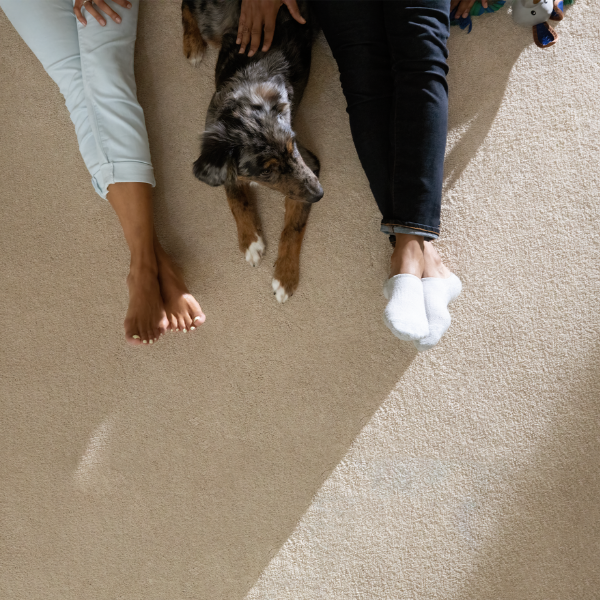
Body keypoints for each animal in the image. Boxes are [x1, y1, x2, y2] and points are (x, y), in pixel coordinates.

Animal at [183, 0, 324, 300]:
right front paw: (250, 241)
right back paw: (192, 43)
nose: (320, 194)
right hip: (214, 23)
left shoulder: (310, 163)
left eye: (292, 147)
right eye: (267, 171)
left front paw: (285, 276)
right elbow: (236, 198)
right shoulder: (220, 160)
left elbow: (294, 226)